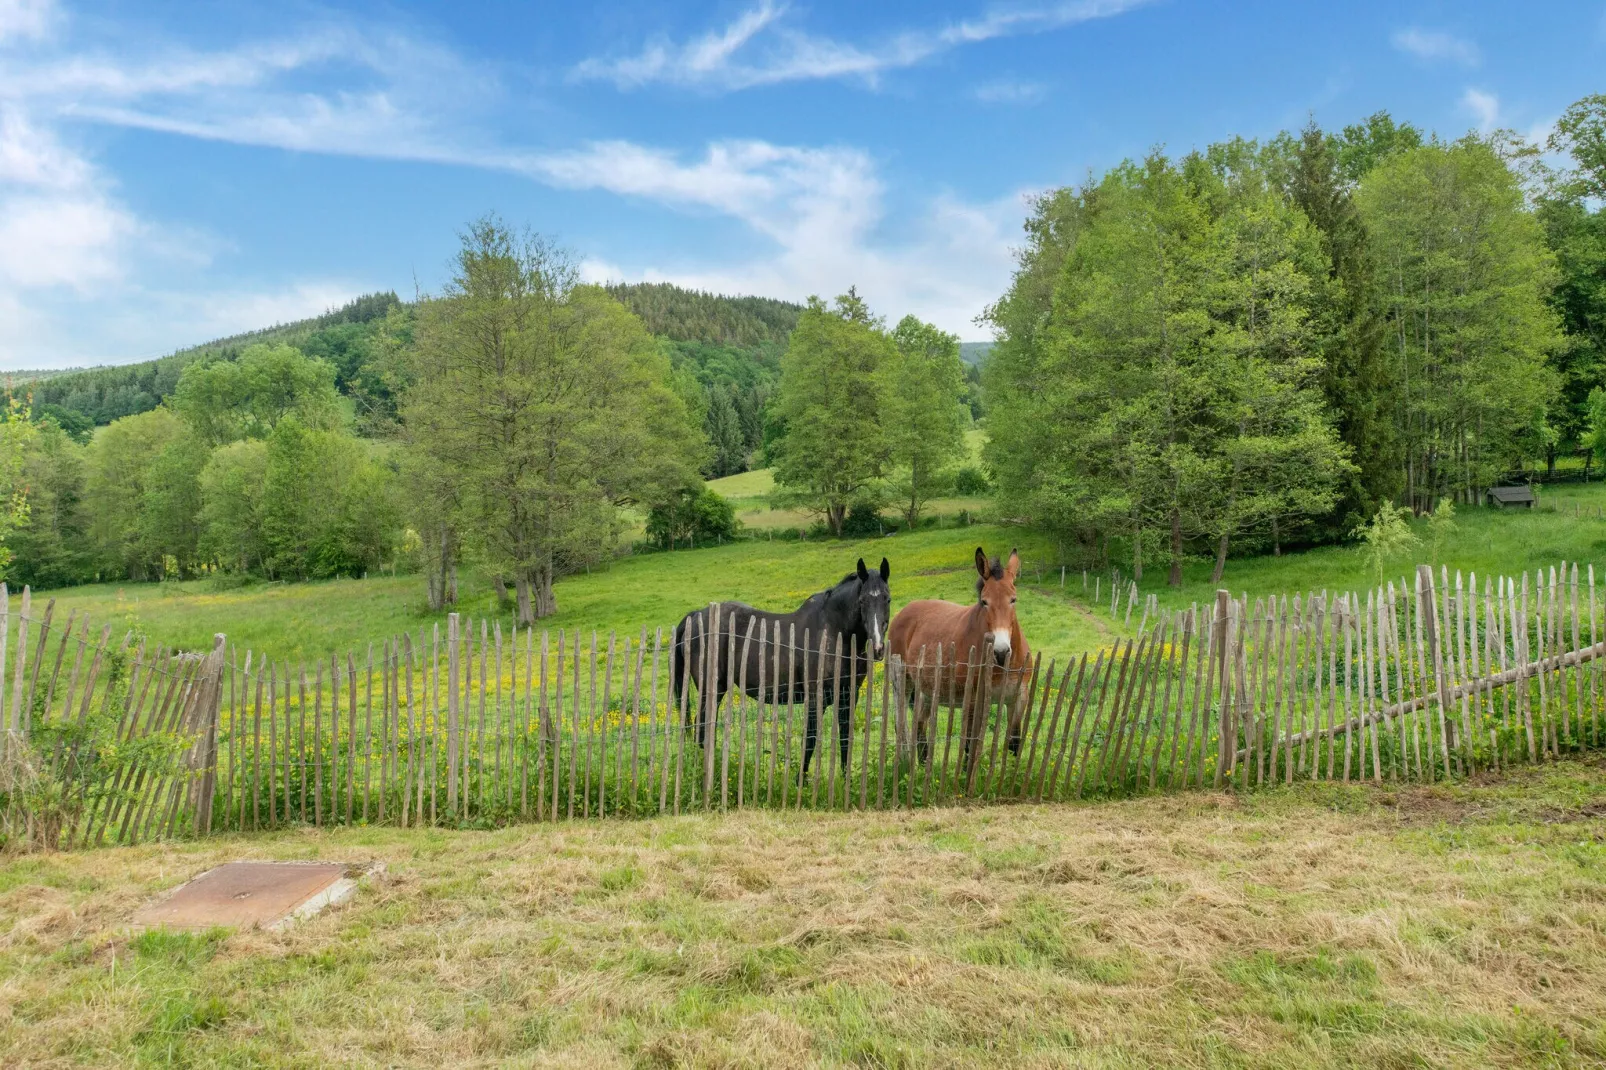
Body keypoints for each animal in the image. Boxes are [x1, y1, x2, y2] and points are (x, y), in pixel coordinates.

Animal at [668, 559, 892, 774]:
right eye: (862, 601)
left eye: (887, 599)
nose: (878, 647)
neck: (833, 631)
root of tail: (696, 615)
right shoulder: (815, 698)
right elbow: (810, 740)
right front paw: (801, 780)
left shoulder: (848, 696)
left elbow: (845, 739)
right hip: (712, 688)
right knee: (702, 727)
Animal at [886, 546, 1034, 771]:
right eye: (984, 601)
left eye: (1013, 599)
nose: (1001, 652)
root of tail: (904, 611)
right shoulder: (972, 701)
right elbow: (969, 745)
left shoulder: (1018, 700)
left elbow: (1014, 744)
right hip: (904, 682)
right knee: (901, 724)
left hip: (926, 691)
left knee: (920, 728)